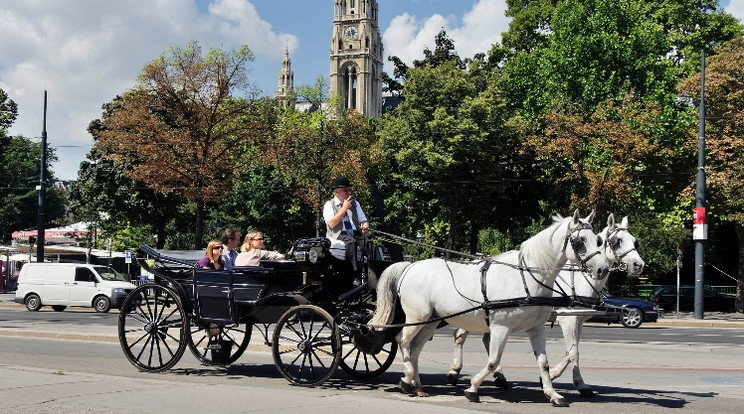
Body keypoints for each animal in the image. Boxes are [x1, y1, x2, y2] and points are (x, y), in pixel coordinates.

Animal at [372, 210, 612, 404]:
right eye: (580, 240)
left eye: (599, 240)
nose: (602, 270)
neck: (527, 277)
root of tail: (410, 266)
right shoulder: (501, 327)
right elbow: (493, 360)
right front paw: (473, 388)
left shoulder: (536, 328)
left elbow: (543, 362)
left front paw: (553, 394)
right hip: (417, 317)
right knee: (402, 340)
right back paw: (407, 379)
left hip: (431, 320)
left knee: (415, 348)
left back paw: (418, 385)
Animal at [448, 213, 644, 398]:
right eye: (616, 241)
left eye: (635, 241)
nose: (638, 265)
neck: (580, 280)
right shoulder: (568, 320)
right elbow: (573, 352)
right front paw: (573, 382)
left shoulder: (579, 321)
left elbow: (572, 351)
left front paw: (556, 378)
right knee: (460, 335)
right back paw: (455, 371)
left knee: (481, 339)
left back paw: (497, 376)